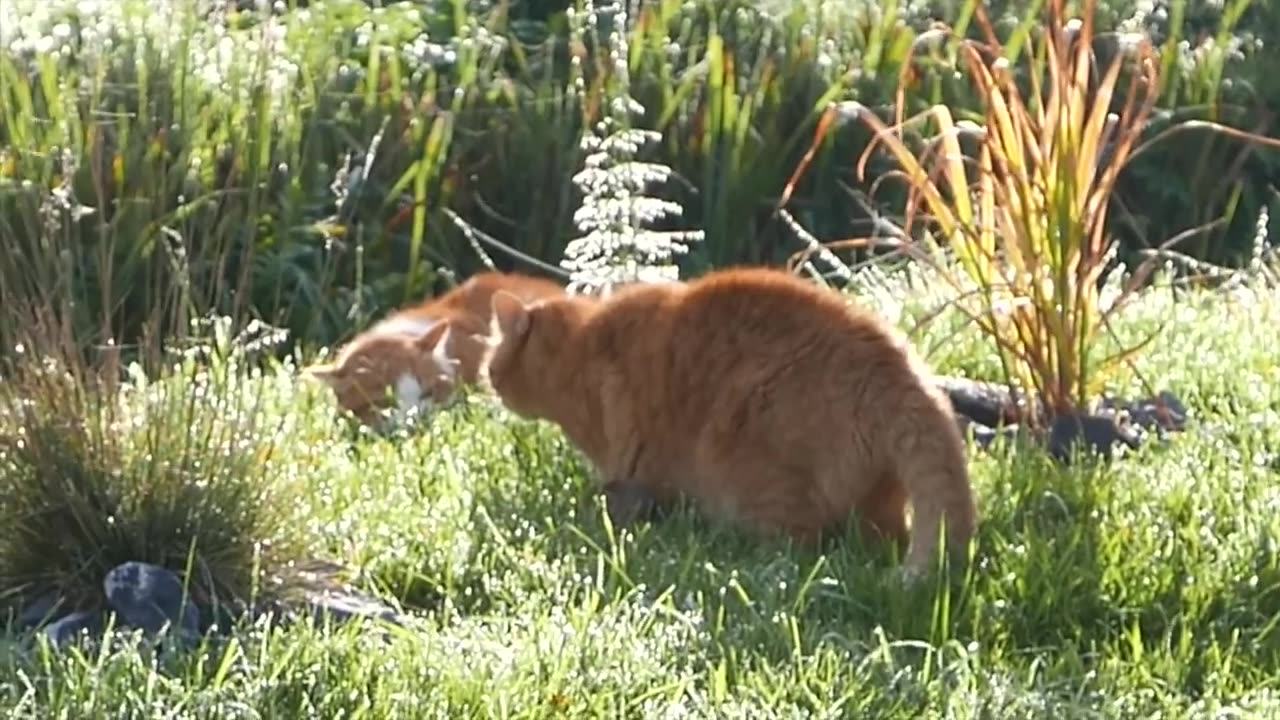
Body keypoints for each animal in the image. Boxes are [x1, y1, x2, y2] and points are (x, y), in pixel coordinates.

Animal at [481, 265, 977, 576]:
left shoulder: (632, 468)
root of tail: (899, 374)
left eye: (493, 361)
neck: (582, 346)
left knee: (798, 546)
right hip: (879, 502)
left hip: (750, 465)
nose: (488, 383)